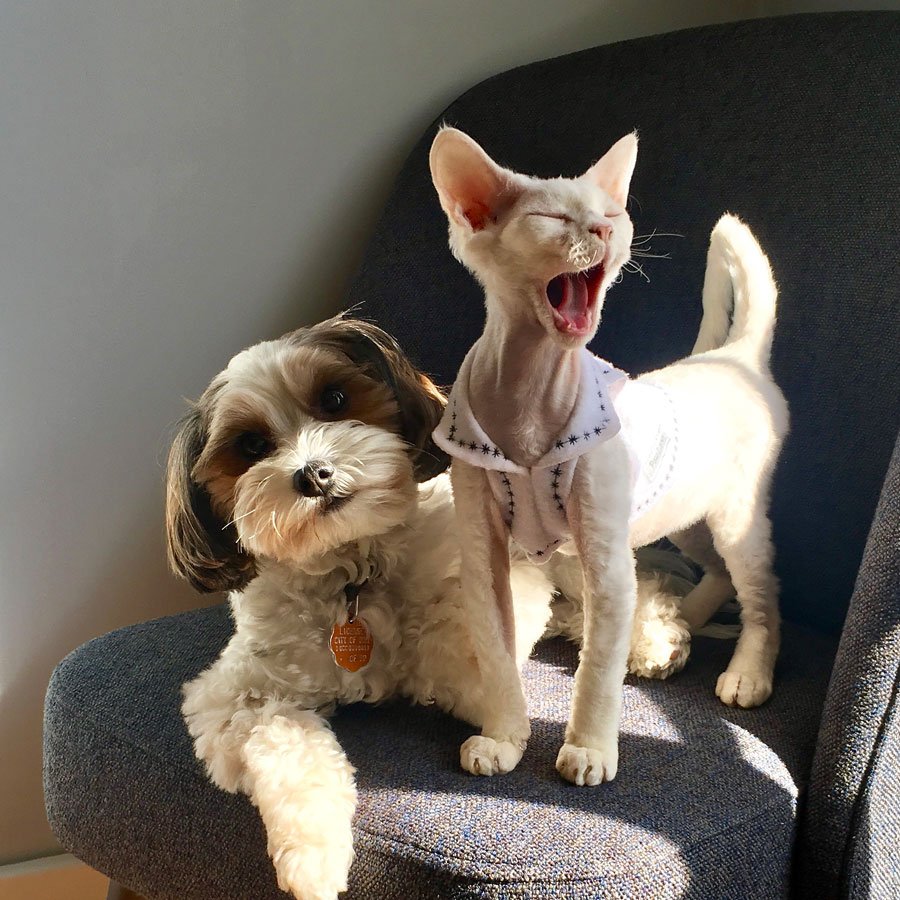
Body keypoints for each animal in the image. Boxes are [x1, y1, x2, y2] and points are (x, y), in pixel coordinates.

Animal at [166, 316, 557, 900]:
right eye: (252, 444)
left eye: (334, 398)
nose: (312, 475)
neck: (351, 571)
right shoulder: (236, 697)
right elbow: (286, 744)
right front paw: (313, 860)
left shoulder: (503, 581)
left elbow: (458, 645)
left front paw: (498, 731)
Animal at [429, 127, 788, 786]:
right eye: (551, 218)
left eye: (612, 214)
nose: (601, 231)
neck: (530, 395)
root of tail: (734, 359)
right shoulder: (485, 554)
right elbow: (495, 651)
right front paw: (505, 736)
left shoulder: (605, 556)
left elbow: (598, 666)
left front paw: (590, 749)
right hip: (681, 516)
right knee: (721, 573)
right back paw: (681, 619)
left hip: (734, 518)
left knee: (763, 591)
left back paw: (748, 672)